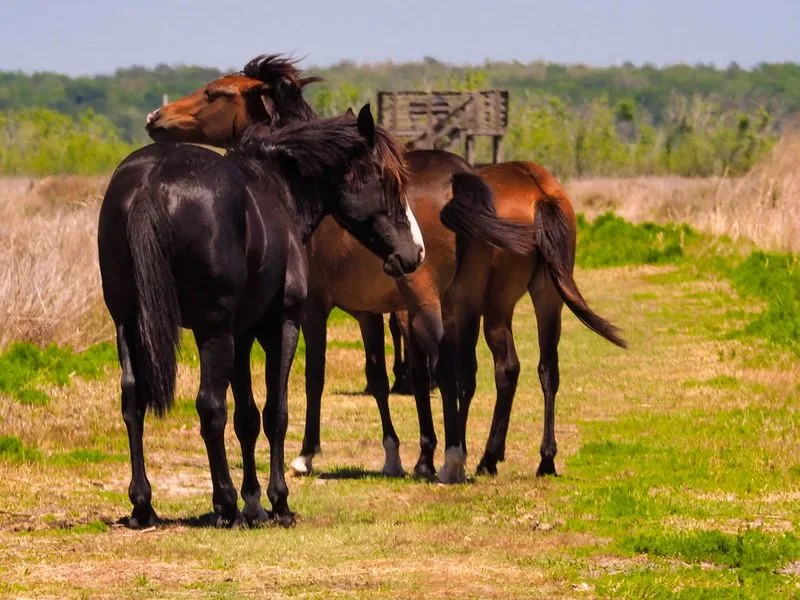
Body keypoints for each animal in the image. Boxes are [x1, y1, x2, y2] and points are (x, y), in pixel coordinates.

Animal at [98, 105, 425, 528]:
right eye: (386, 181)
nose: (415, 253)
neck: (277, 192)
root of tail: (152, 182)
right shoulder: (280, 328)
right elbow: (275, 413)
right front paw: (278, 502)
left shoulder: (242, 335)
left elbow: (248, 418)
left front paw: (253, 501)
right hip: (212, 331)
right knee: (210, 407)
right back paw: (224, 505)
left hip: (129, 323)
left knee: (133, 399)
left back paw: (144, 506)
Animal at [145, 54, 626, 483]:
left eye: (214, 93)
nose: (155, 117)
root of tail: (532, 185)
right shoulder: (370, 312)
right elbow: (379, 378)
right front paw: (400, 455)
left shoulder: (316, 307)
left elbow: (316, 375)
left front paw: (308, 454)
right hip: (526, 299)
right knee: (528, 369)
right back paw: (528, 458)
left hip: (457, 303)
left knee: (461, 370)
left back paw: (459, 460)